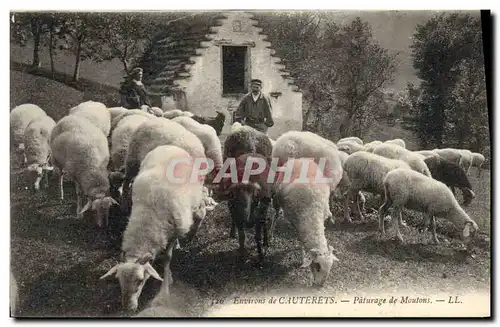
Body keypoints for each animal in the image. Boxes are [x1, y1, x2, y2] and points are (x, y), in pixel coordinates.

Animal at [99, 146, 211, 312]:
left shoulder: (173, 231)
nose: (128, 308)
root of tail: (172, 146)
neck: (148, 217)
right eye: (119, 280)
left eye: (140, 280)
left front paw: (166, 285)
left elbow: (167, 258)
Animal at [274, 158, 340, 286]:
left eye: (330, 267)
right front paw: (303, 256)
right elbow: (300, 241)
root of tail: (298, 159)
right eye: (318, 266)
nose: (320, 286)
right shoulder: (297, 222)